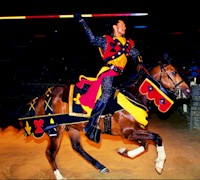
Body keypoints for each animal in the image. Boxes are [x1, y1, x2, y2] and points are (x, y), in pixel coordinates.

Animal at [19, 61, 190, 179]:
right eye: (174, 72)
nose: (187, 91)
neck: (133, 96)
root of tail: (43, 96)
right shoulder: (128, 132)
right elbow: (156, 138)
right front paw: (160, 164)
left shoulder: (133, 132)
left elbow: (145, 144)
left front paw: (124, 151)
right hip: (56, 130)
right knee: (50, 153)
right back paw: (60, 177)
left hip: (72, 128)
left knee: (77, 147)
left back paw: (101, 166)